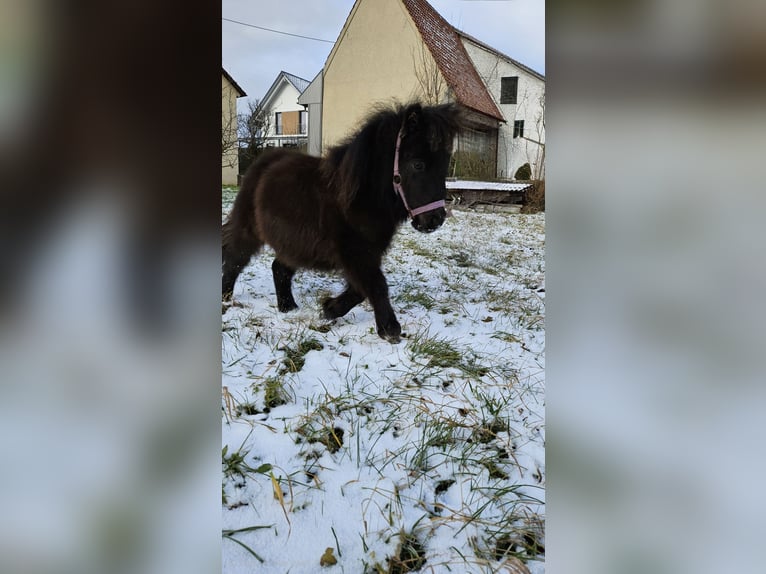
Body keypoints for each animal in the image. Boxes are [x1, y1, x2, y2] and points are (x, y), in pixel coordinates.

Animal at [222, 102, 462, 344]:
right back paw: (225, 297)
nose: (435, 220)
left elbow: (361, 288)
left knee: (279, 268)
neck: (359, 199)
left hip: (296, 244)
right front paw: (389, 328)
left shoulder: (367, 253)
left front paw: (329, 309)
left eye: (444, 166)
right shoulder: (355, 252)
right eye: (418, 165)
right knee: (235, 259)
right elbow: (377, 284)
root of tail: (262, 162)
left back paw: (288, 307)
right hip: (250, 230)